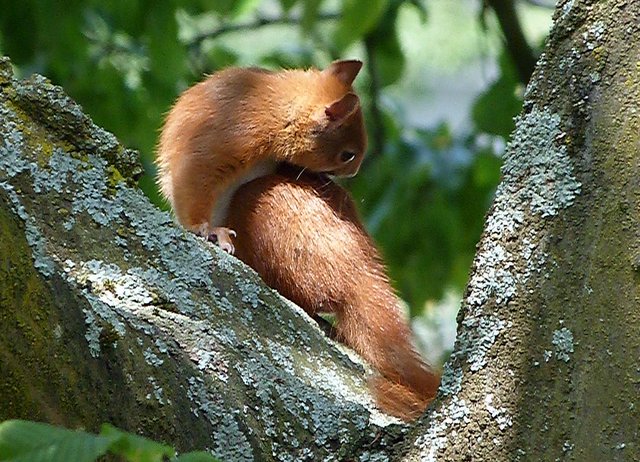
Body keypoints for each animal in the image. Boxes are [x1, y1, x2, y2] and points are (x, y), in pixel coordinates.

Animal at [156, 60, 367, 253]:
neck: (280, 111)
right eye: (347, 155)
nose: (354, 172)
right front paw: (205, 228)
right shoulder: (228, 136)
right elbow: (194, 178)